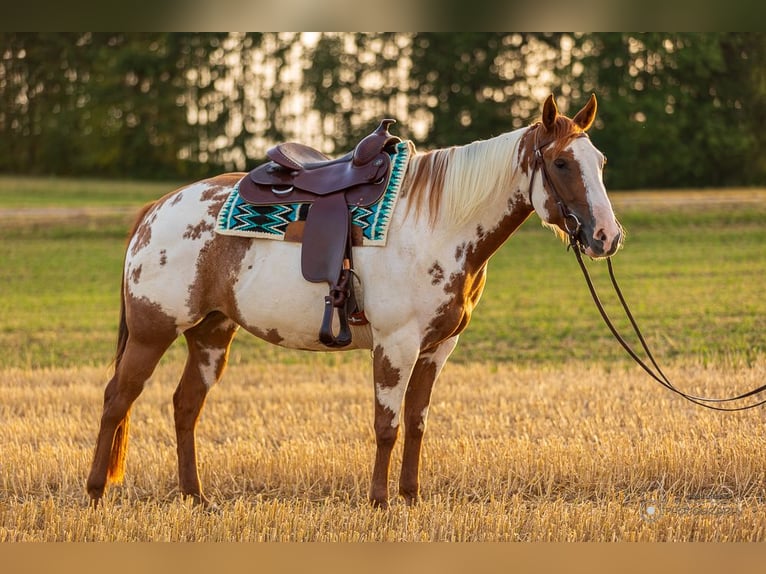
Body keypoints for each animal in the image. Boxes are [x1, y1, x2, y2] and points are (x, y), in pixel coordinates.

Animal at [86, 94, 622, 509]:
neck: (437, 223)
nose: (606, 236)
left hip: (211, 333)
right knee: (117, 399)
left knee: (185, 406)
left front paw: (411, 498)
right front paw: (380, 502)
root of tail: (155, 210)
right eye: (560, 163)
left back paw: (196, 498)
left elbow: (416, 422)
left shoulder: (436, 349)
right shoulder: (396, 344)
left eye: (601, 162)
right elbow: (387, 425)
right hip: (153, 331)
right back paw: (96, 492)